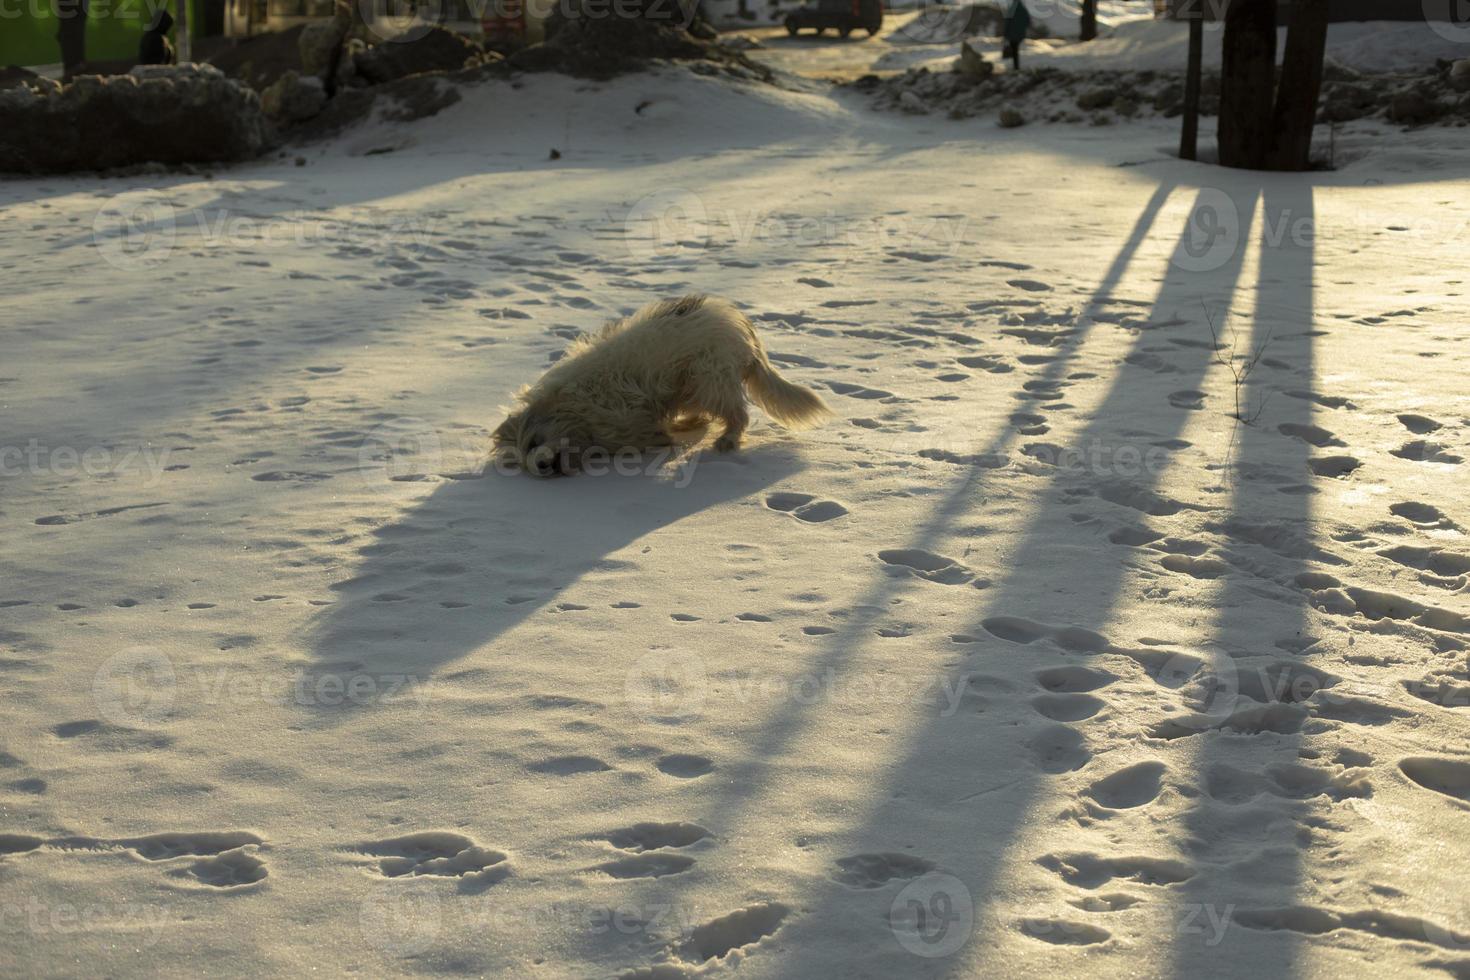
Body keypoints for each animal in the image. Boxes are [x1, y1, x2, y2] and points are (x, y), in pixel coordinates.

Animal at [493, 293, 834, 476]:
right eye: (524, 460)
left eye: (533, 443)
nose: (540, 467)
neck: (573, 408)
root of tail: (742, 329)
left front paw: (661, 439)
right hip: (692, 381)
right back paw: (689, 422)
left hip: (708, 373)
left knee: (737, 413)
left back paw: (727, 438)